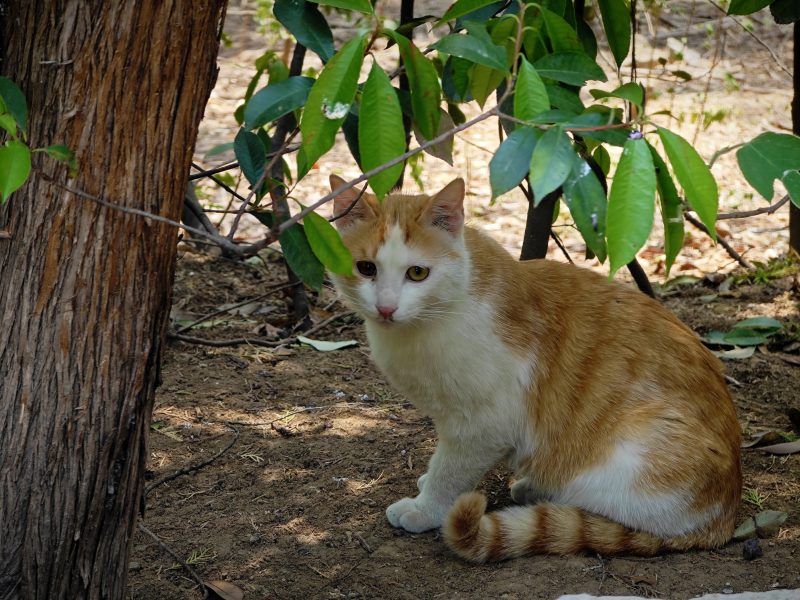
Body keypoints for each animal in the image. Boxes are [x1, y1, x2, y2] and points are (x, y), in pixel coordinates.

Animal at [328, 174, 742, 562]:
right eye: (366, 268)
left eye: (417, 273)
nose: (386, 308)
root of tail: (725, 516)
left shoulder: (481, 426)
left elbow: (450, 471)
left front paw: (426, 506)